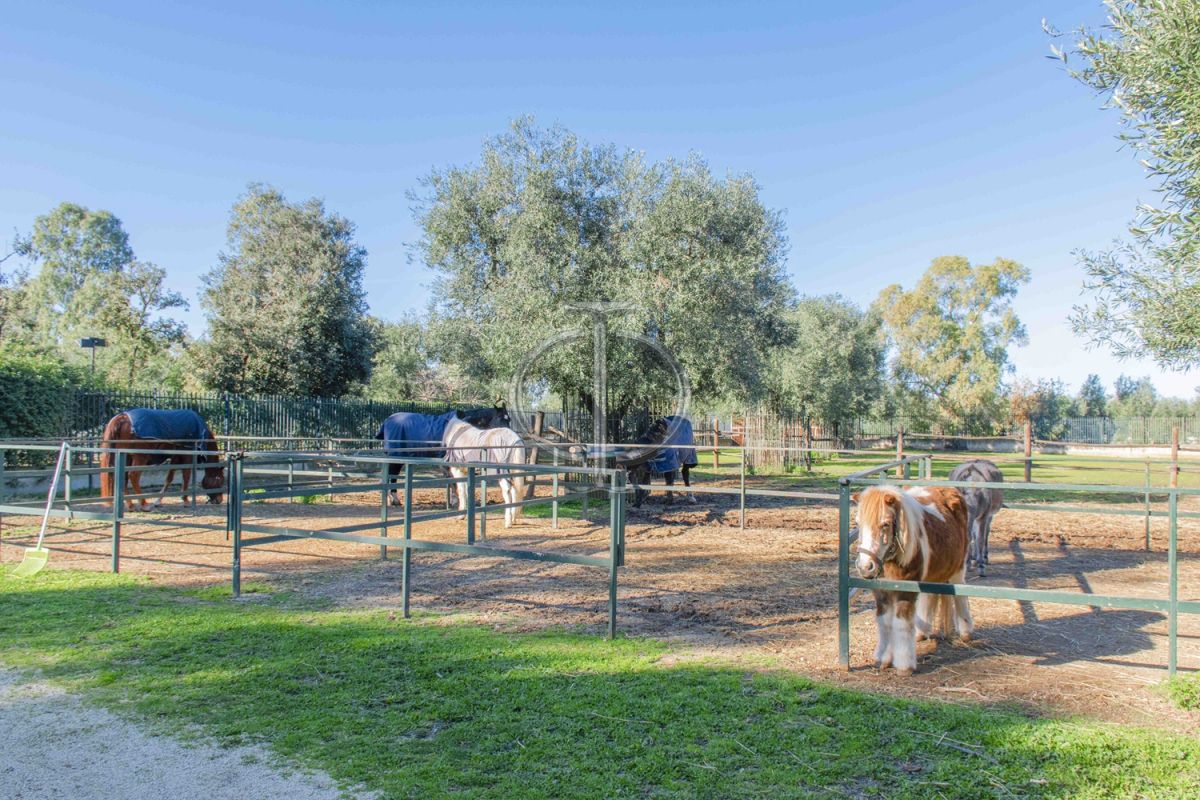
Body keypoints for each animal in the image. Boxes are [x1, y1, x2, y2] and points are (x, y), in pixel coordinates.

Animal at [854, 482, 974, 676]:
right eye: (857, 523)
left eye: (885, 524)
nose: (866, 566)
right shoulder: (881, 592)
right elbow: (885, 623)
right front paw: (884, 659)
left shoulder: (905, 591)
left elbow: (901, 623)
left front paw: (904, 666)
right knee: (928, 597)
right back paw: (921, 633)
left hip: (958, 569)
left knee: (960, 595)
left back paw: (966, 632)